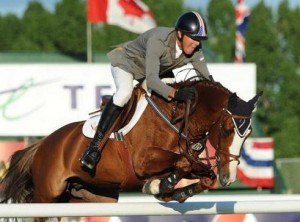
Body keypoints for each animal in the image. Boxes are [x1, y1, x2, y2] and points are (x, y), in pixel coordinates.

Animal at [0, 78, 262, 210]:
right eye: (227, 129)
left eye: (248, 133)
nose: (230, 177)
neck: (177, 116)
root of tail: (42, 144)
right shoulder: (143, 161)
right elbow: (181, 162)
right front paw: (159, 185)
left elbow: (200, 173)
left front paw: (171, 189)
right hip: (47, 195)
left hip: (90, 197)